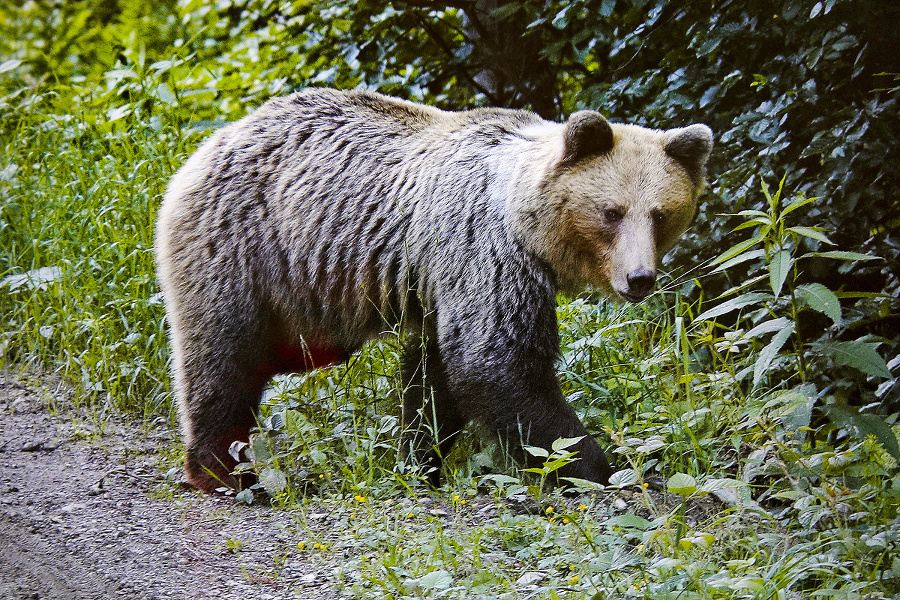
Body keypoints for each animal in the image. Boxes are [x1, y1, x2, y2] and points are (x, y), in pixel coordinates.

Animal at [156, 88, 716, 492]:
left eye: (661, 214)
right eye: (611, 212)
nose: (639, 278)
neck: (526, 223)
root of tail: (207, 145)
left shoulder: (439, 284)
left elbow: (434, 376)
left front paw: (419, 460)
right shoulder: (485, 250)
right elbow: (497, 363)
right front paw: (604, 469)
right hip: (241, 248)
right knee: (223, 359)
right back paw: (224, 473)